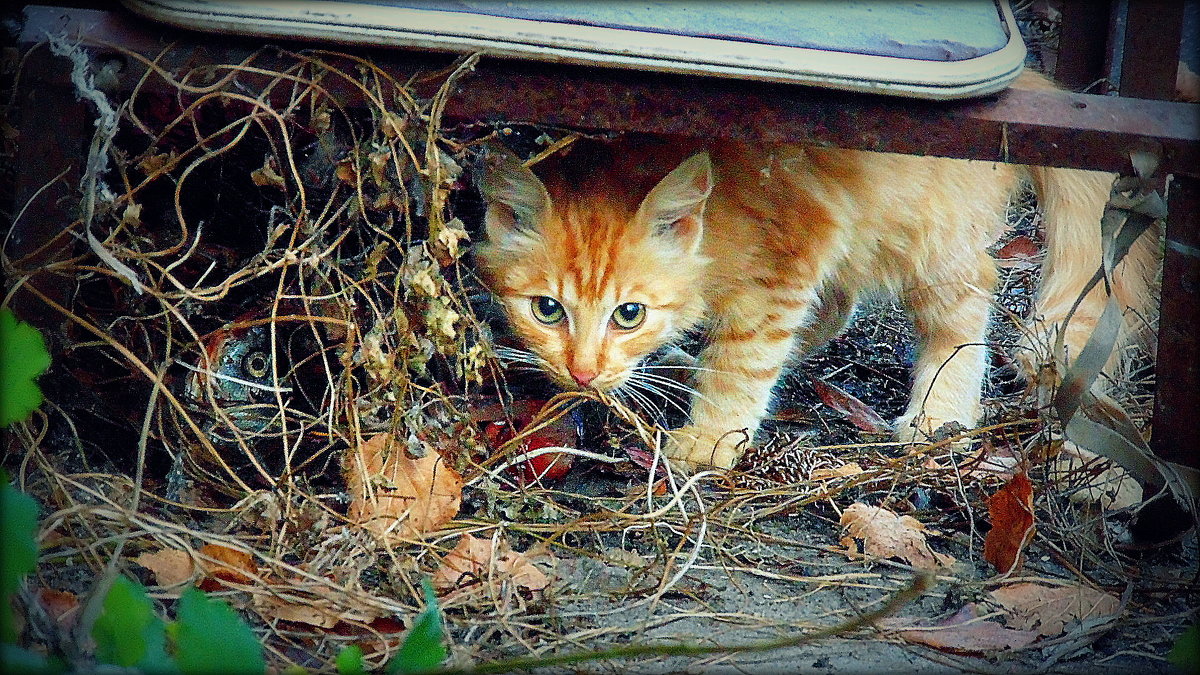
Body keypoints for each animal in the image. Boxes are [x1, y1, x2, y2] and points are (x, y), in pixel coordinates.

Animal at [472, 70, 1156, 466]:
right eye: (547, 310)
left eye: (629, 314)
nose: (582, 372)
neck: (713, 235)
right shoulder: (803, 255)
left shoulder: (787, 258)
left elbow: (744, 358)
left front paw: (710, 440)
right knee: (834, 306)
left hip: (927, 233)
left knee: (964, 307)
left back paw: (940, 412)